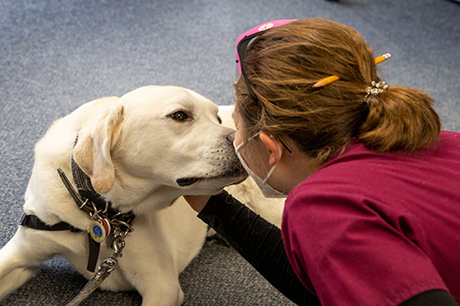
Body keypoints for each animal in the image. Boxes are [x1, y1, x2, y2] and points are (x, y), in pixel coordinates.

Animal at [0, 86, 248, 306]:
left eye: (217, 119)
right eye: (179, 115)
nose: (242, 142)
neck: (98, 211)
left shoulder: (162, 286)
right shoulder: (24, 252)